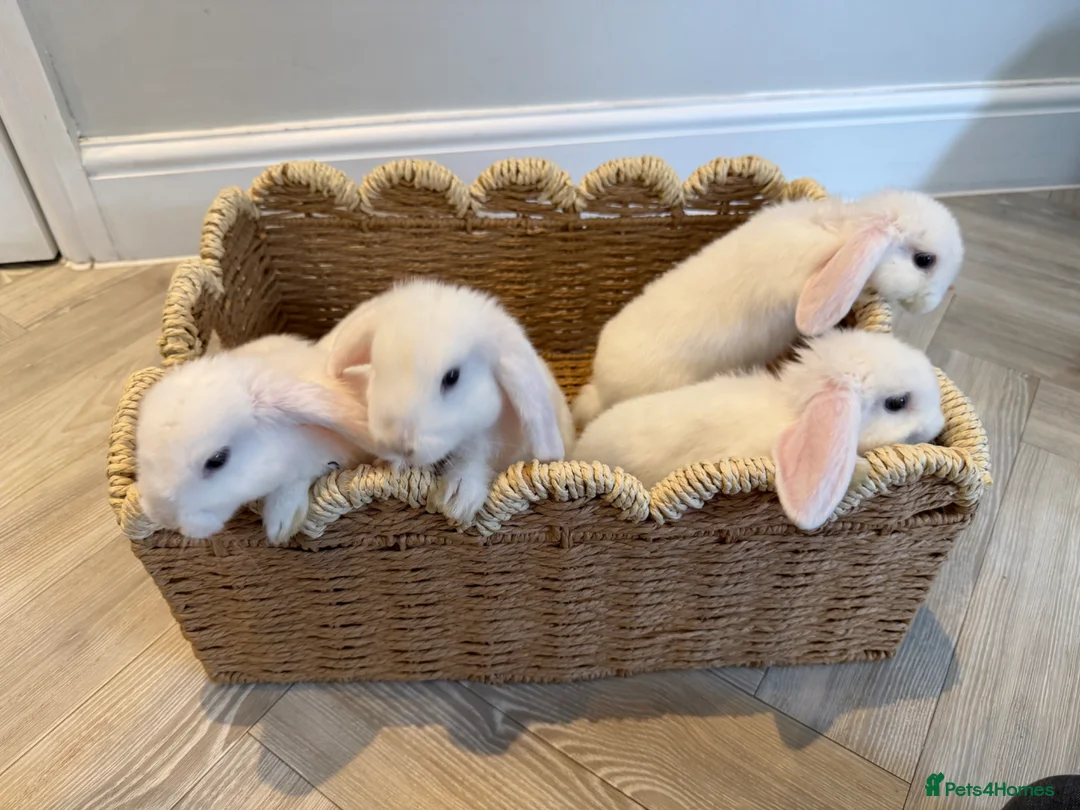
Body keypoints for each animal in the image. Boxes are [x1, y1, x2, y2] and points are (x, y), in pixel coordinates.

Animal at [321, 279, 575, 524]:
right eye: (377, 366)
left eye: (452, 377)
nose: (398, 444)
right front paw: (392, 465)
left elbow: (476, 458)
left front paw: (458, 502)